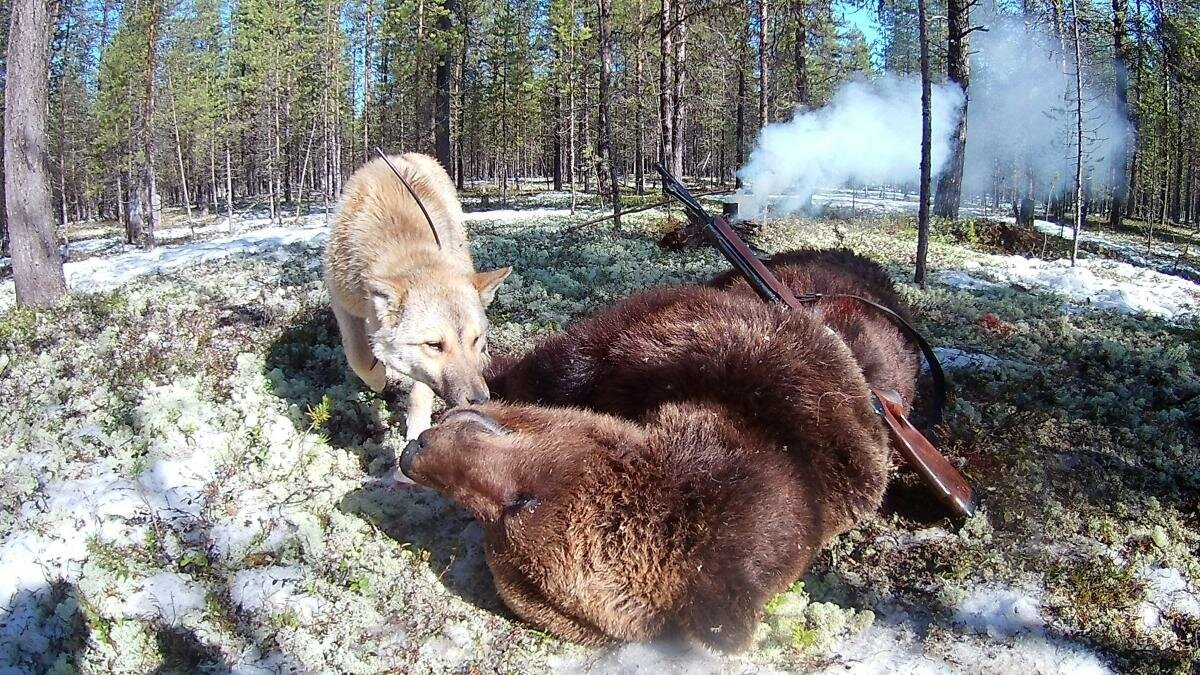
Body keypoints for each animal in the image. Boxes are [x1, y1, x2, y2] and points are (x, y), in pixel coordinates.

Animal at [326, 149, 513, 439]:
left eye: (475, 339)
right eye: (434, 345)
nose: (481, 401)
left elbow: (420, 392)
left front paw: (416, 431)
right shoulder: (343, 304)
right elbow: (359, 357)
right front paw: (378, 378)